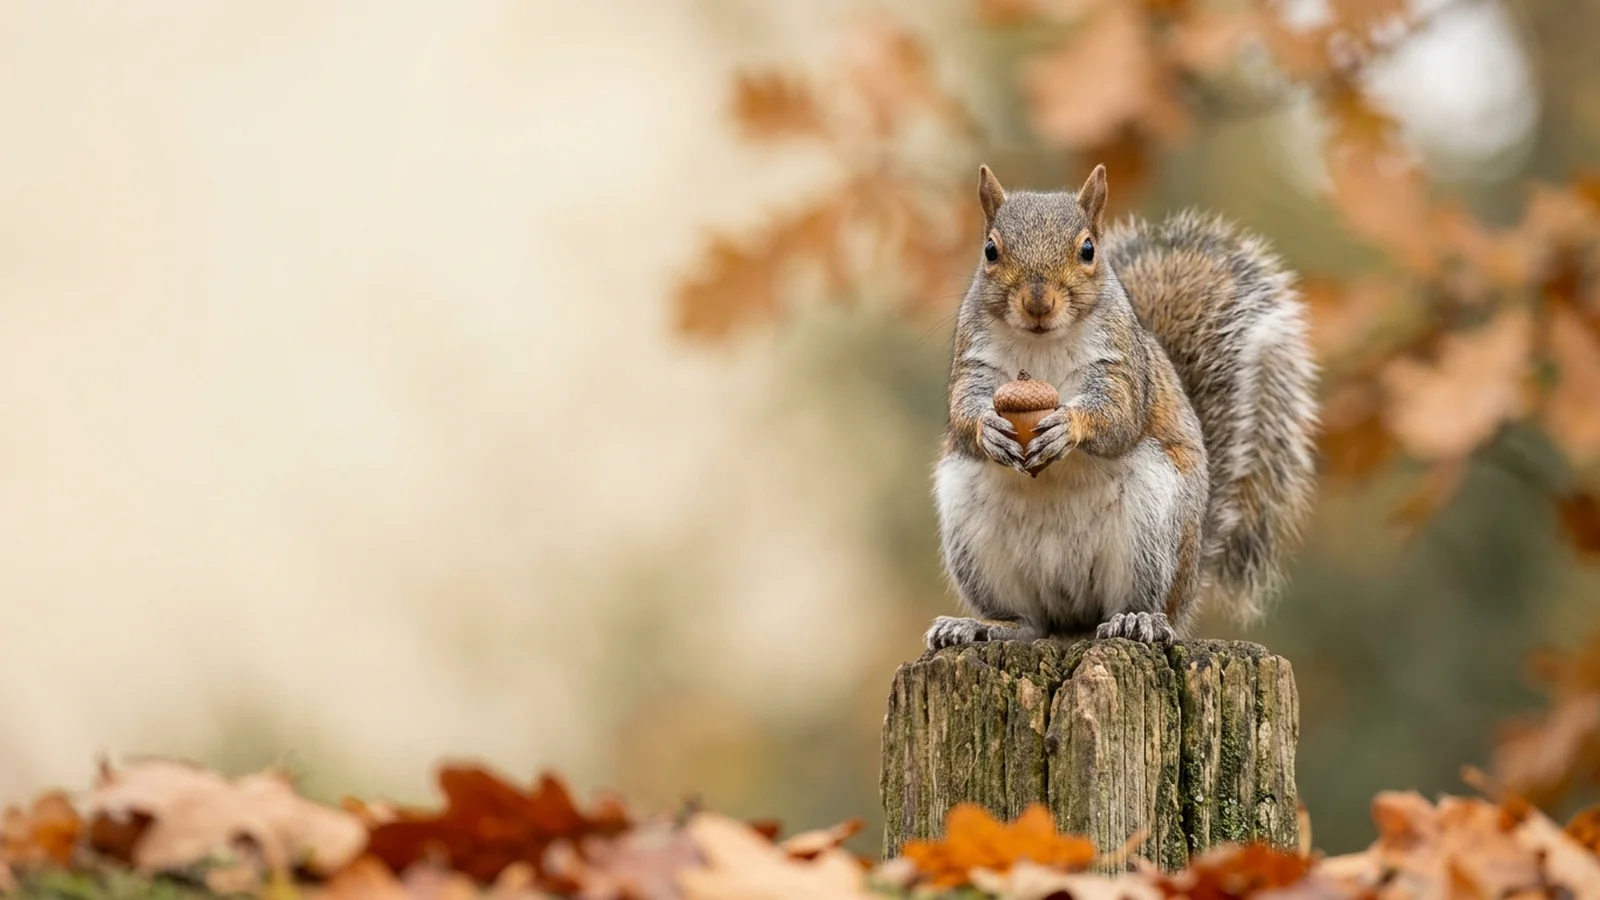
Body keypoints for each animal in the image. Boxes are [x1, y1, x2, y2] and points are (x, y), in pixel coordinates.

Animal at [926, 164, 1317, 649]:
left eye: (1088, 249)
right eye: (990, 251)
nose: (1038, 303)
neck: (1041, 345)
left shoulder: (1121, 363)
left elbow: (1120, 414)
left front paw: (1068, 426)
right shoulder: (973, 360)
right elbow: (963, 411)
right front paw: (988, 429)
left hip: (1151, 529)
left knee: (1137, 604)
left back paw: (1136, 620)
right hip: (972, 536)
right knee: (1030, 622)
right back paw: (982, 626)